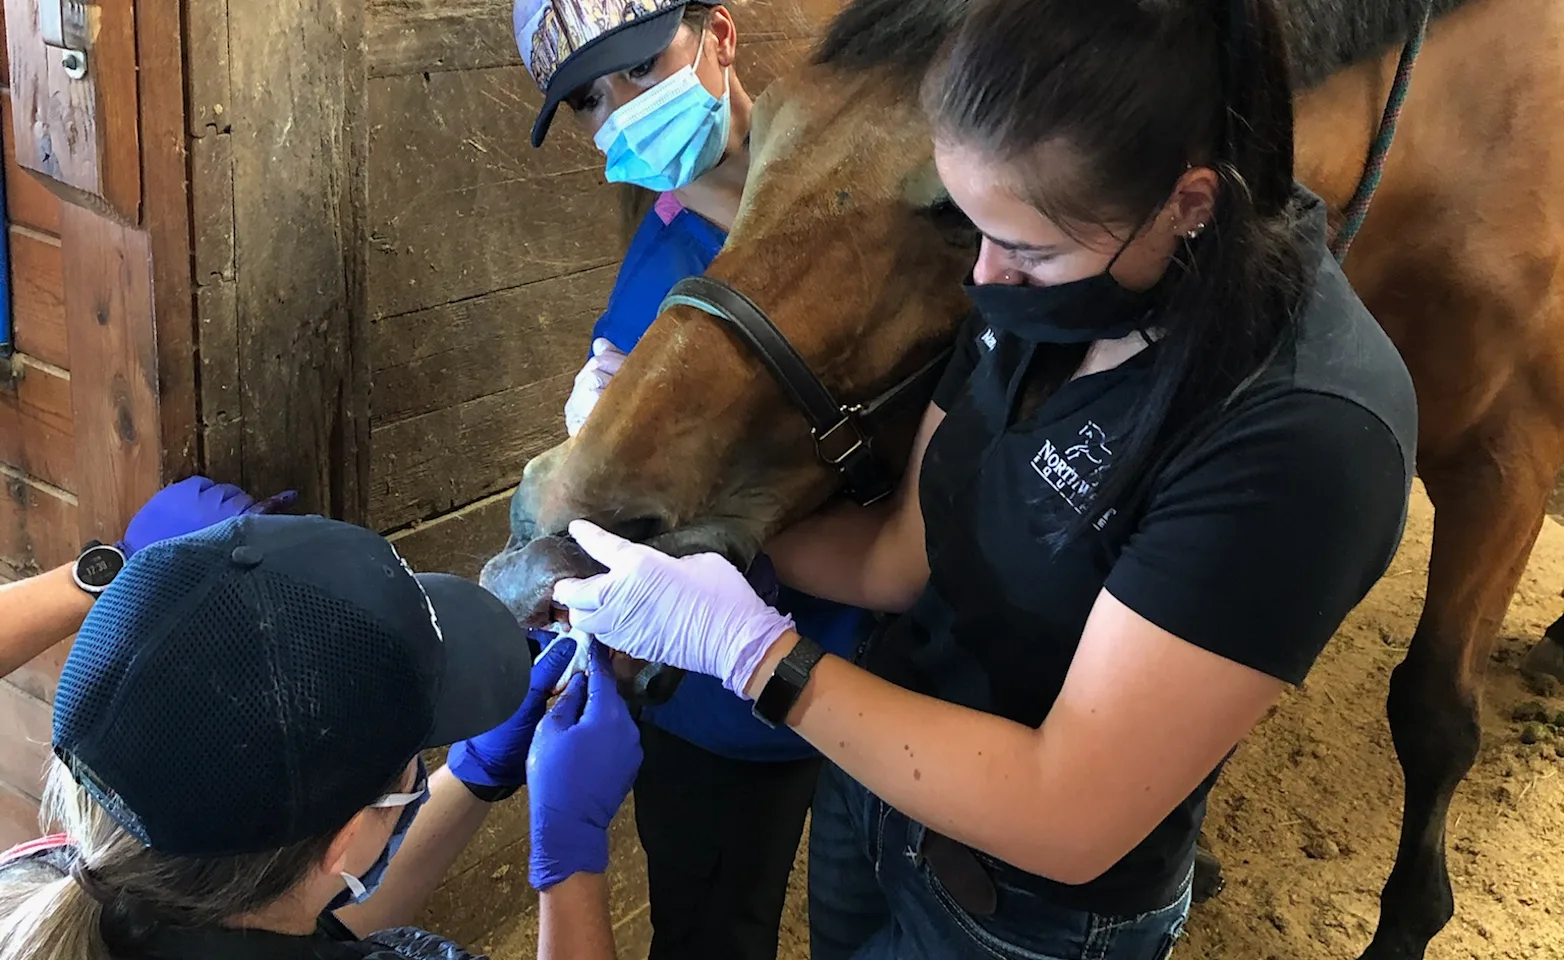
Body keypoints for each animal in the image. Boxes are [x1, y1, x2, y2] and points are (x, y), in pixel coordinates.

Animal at [475, 3, 1564, 956]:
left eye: (961, 215)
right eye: (771, 136)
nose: (548, 540)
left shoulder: (1504, 468)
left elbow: (1431, 713)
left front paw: (1407, 926)